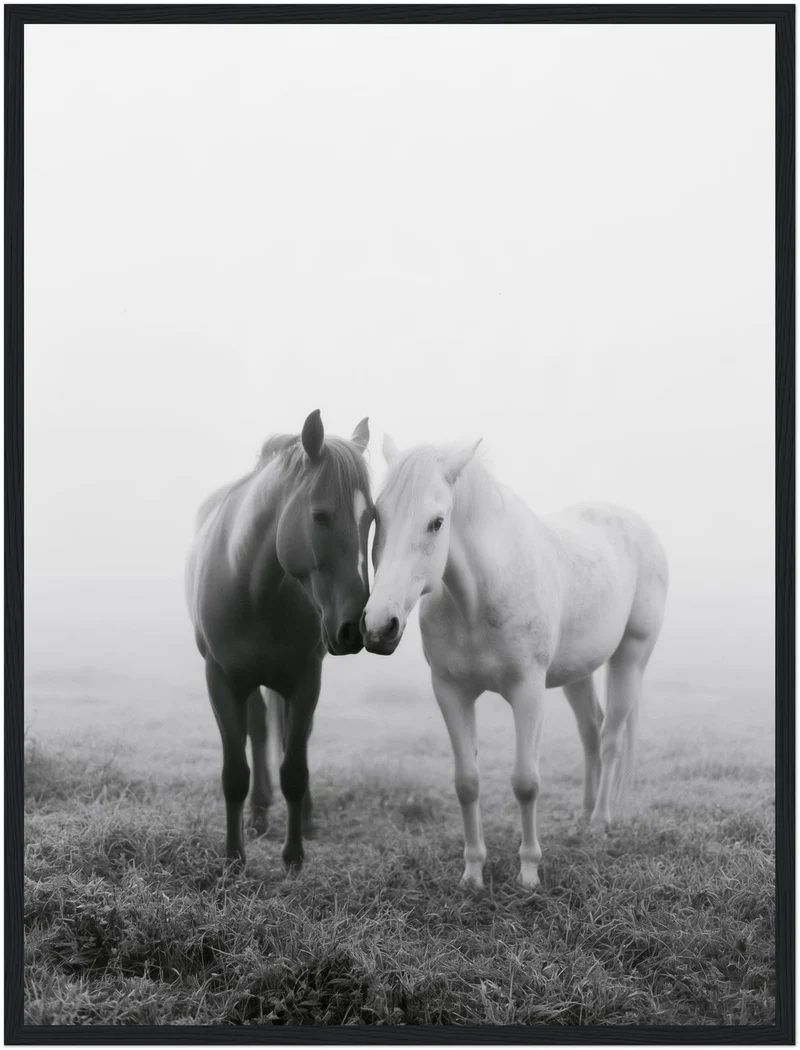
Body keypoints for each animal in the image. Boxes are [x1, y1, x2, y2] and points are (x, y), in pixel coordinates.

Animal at [186, 410, 373, 870]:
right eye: (320, 516)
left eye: (372, 518)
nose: (354, 628)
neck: (253, 586)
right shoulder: (221, 681)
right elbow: (235, 772)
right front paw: (234, 856)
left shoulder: (306, 680)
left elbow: (294, 768)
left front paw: (293, 855)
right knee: (258, 731)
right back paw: (257, 813)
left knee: (288, 736)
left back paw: (302, 816)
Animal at [362, 437, 668, 890]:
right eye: (377, 516)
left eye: (437, 522)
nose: (379, 627)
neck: (477, 602)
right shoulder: (450, 692)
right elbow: (466, 783)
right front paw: (473, 872)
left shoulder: (527, 691)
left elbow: (525, 783)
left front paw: (528, 872)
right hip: (578, 673)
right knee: (591, 733)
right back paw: (584, 813)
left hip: (629, 658)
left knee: (611, 737)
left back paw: (600, 819)